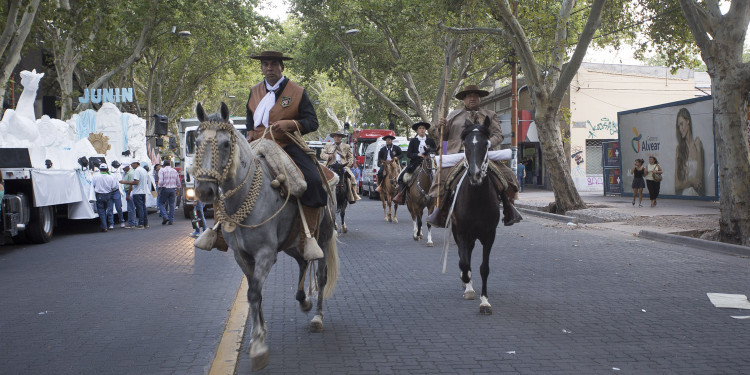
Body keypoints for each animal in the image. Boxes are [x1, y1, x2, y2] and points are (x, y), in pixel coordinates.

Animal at [191, 101, 340, 372]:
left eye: (226, 144)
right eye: (196, 143)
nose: (205, 190)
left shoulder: (265, 254)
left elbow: (253, 293)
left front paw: (259, 344)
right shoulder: (242, 256)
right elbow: (254, 293)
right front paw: (257, 336)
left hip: (322, 238)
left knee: (321, 275)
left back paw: (317, 317)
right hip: (293, 241)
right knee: (303, 262)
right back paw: (303, 300)